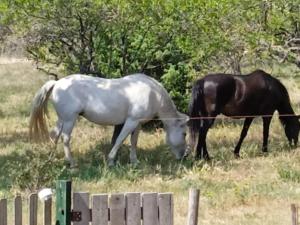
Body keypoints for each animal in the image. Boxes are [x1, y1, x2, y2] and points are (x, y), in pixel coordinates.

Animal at [28, 74, 188, 167]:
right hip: (69, 119)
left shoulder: (137, 124)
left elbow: (134, 142)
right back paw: (71, 163)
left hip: (62, 119)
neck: (153, 94)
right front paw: (111, 160)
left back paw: (51, 158)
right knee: (65, 139)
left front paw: (134, 161)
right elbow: (119, 140)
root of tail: (57, 82)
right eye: (184, 134)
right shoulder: (130, 121)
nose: (183, 156)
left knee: (54, 135)